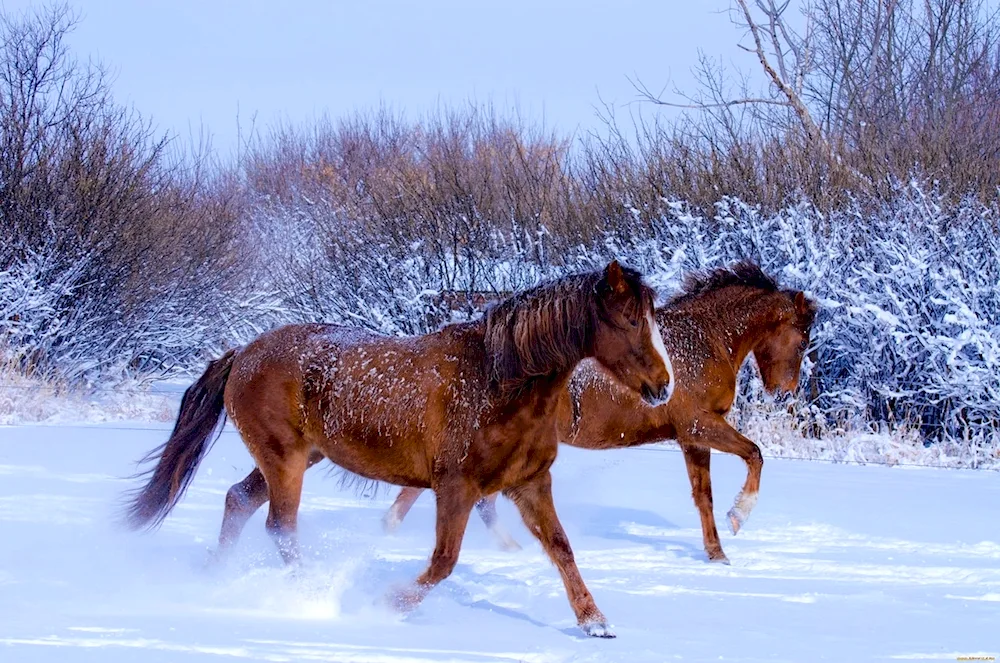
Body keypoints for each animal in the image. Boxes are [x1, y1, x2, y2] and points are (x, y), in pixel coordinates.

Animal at [125, 262, 672, 640]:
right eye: (628, 321)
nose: (663, 386)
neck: (497, 382)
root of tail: (243, 352)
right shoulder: (456, 487)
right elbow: (444, 561)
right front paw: (389, 605)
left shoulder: (529, 484)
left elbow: (561, 548)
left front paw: (595, 622)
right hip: (284, 460)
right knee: (280, 527)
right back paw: (308, 595)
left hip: (295, 458)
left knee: (239, 501)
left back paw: (215, 575)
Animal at [378, 262, 816, 564]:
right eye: (802, 339)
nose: (784, 391)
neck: (704, 341)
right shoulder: (699, 425)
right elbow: (754, 454)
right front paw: (738, 516)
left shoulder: (691, 439)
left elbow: (703, 496)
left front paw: (716, 553)